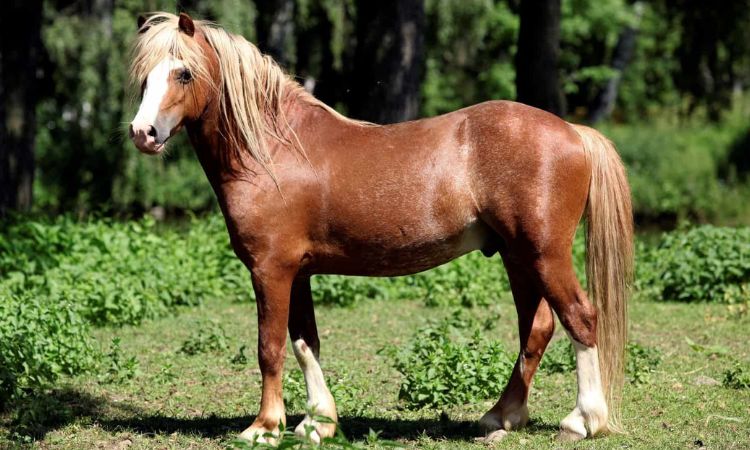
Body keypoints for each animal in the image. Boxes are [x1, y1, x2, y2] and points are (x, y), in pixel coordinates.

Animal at [128, 12, 633, 444]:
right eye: (145, 77)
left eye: (183, 73)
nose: (143, 133)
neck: (273, 149)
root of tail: (572, 131)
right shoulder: (300, 272)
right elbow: (305, 343)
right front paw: (317, 423)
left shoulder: (271, 270)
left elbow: (269, 347)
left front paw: (264, 427)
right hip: (516, 256)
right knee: (537, 327)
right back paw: (500, 417)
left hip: (544, 253)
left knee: (580, 318)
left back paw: (583, 421)